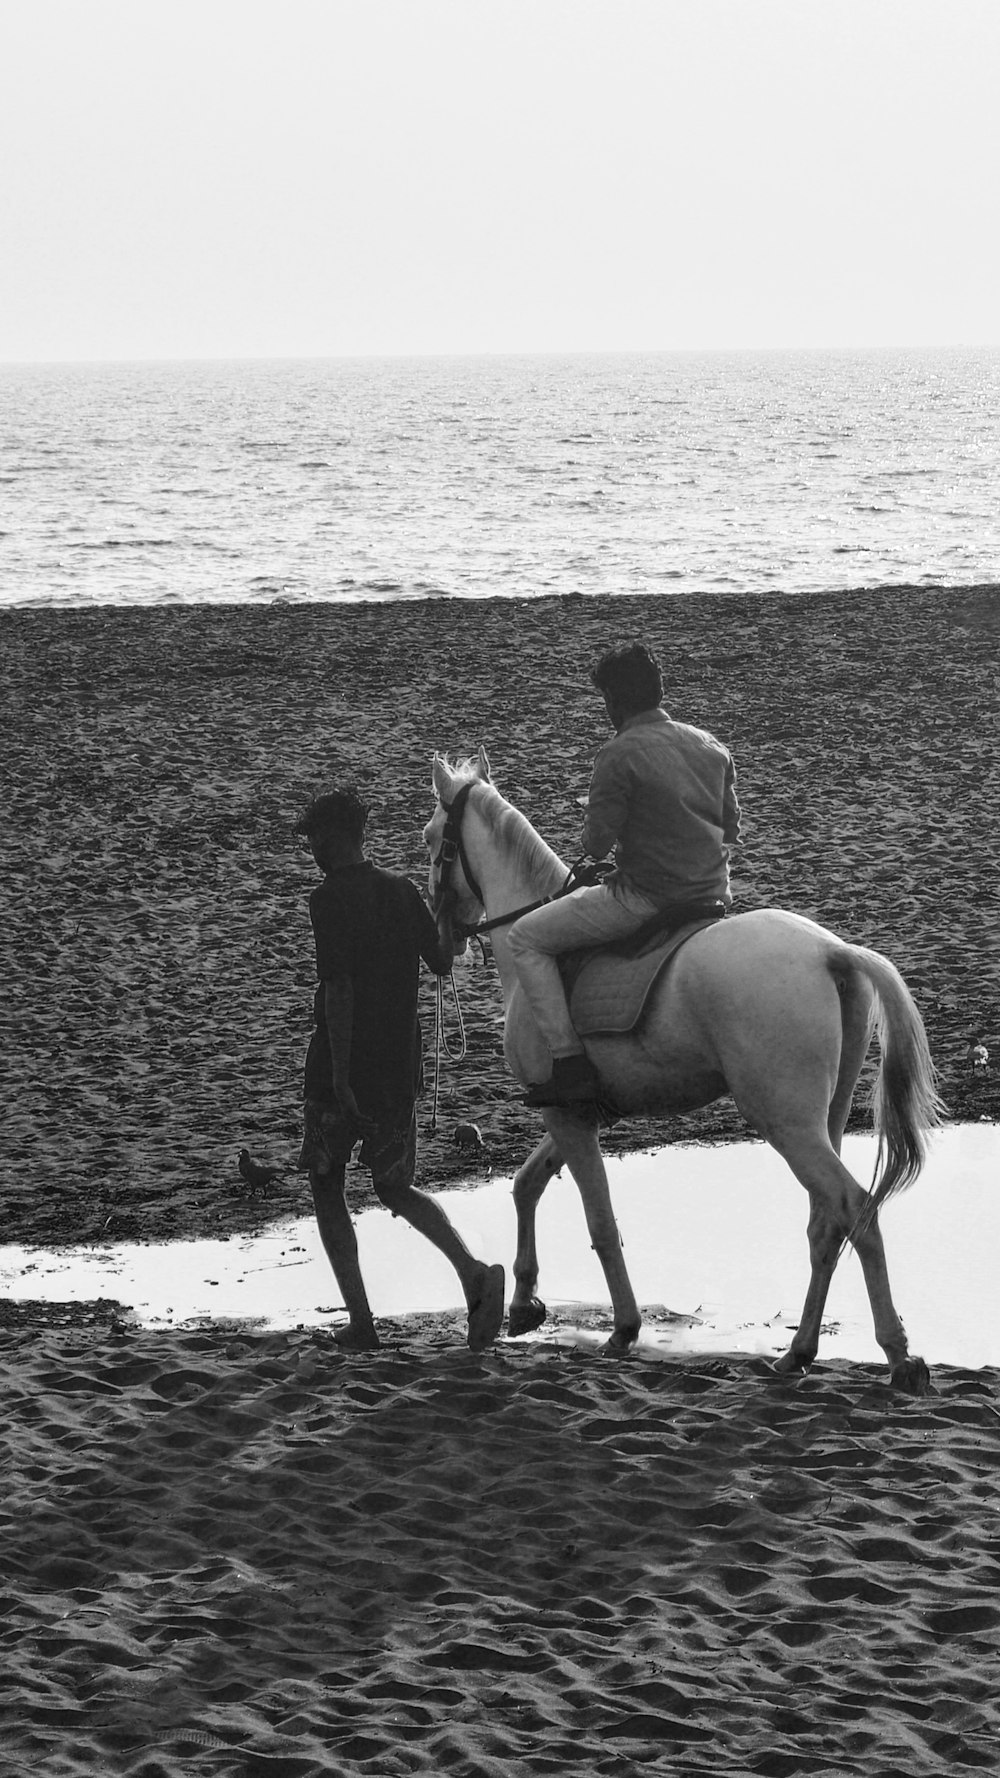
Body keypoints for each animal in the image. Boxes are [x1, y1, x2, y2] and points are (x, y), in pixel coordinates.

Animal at [423, 750, 939, 1386]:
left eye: (431, 841)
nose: (441, 944)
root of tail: (829, 952)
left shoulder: (567, 1117)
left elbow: (599, 1220)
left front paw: (622, 1329)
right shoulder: (575, 1113)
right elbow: (527, 1185)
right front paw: (522, 1304)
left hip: (786, 1124)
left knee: (852, 1209)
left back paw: (897, 1352)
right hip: (827, 1121)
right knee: (826, 1223)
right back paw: (799, 1350)